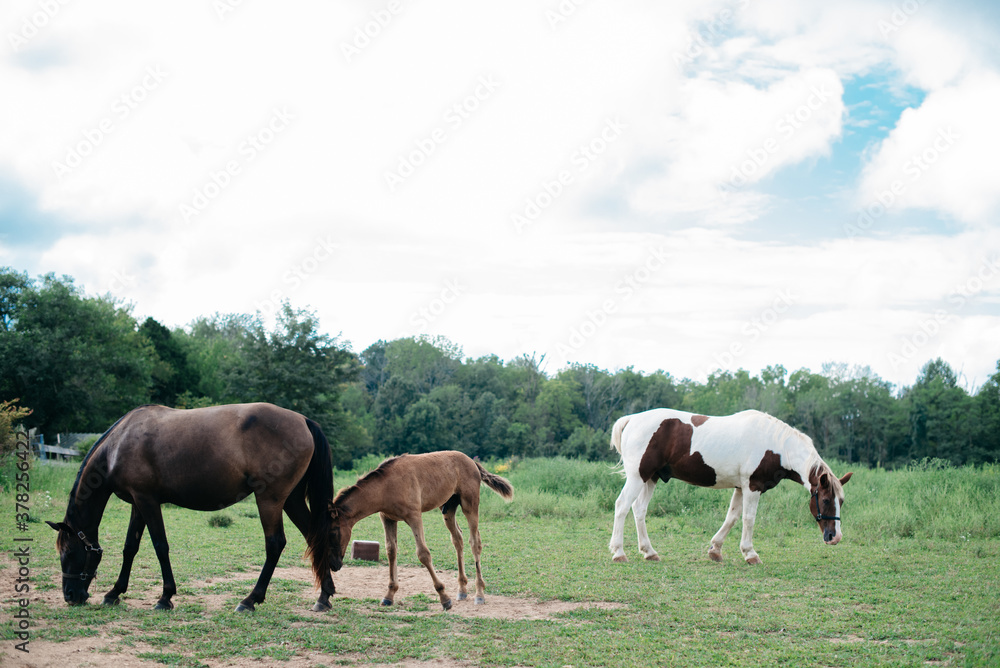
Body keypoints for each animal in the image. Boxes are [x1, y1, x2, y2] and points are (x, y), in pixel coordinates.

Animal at [46, 402, 337, 612]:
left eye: (68, 553)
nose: (70, 595)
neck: (118, 445)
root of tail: (304, 421)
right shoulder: (137, 504)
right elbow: (130, 548)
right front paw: (114, 593)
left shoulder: (147, 501)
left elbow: (160, 546)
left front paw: (165, 597)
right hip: (292, 500)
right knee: (314, 536)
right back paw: (324, 597)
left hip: (271, 500)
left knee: (275, 544)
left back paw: (250, 600)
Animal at [328, 451, 513, 610]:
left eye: (333, 531)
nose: (334, 564)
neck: (386, 485)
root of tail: (472, 462)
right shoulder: (387, 518)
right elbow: (391, 551)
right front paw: (389, 595)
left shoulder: (414, 516)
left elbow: (423, 553)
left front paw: (444, 598)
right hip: (448, 509)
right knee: (457, 539)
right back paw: (462, 590)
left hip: (470, 504)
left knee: (475, 542)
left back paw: (479, 594)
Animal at [608, 408, 852, 565]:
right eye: (826, 500)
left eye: (841, 501)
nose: (835, 537)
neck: (777, 447)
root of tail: (632, 419)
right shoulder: (753, 487)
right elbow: (748, 519)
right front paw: (750, 554)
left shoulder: (741, 487)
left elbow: (732, 517)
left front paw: (715, 550)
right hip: (637, 477)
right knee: (622, 506)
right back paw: (619, 552)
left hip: (651, 478)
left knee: (639, 510)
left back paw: (649, 552)